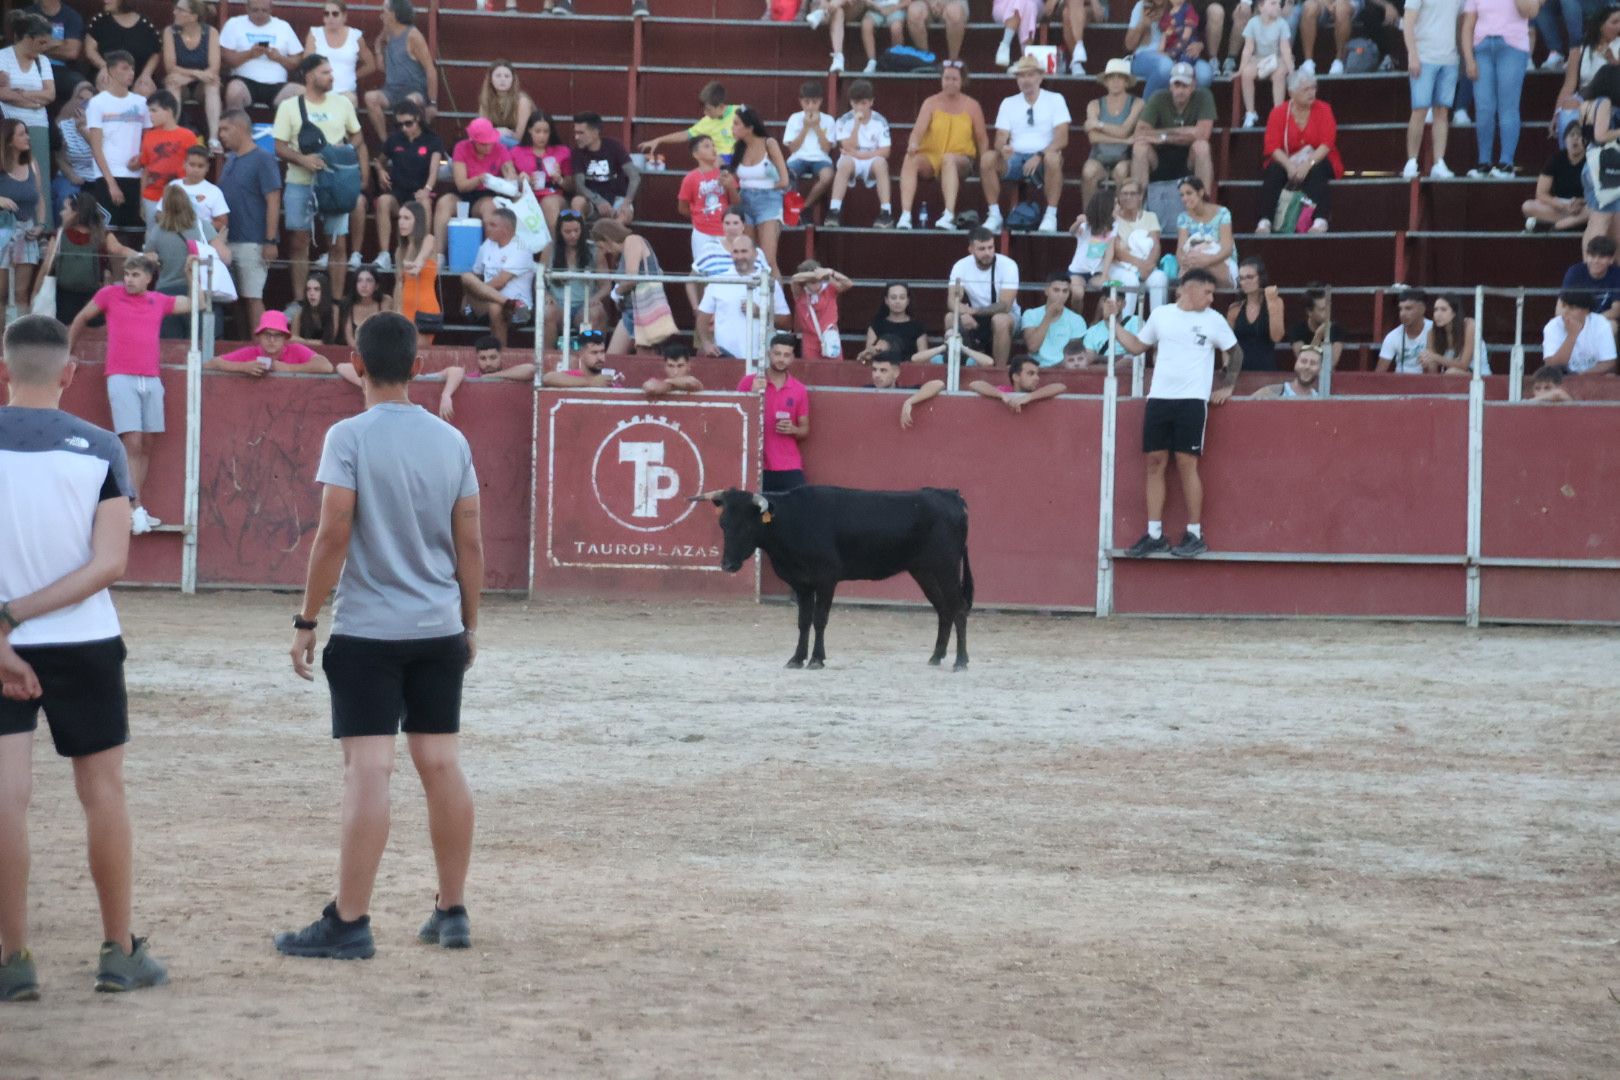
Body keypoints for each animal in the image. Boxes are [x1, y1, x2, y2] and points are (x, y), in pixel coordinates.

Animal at [690, 485, 965, 670]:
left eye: (748, 525)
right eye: (723, 524)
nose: (727, 565)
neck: (793, 520)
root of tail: (950, 495)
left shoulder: (826, 579)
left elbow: (820, 619)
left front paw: (816, 659)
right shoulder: (801, 583)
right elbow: (803, 621)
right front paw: (796, 658)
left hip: (947, 568)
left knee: (958, 608)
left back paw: (961, 661)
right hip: (924, 572)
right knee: (944, 609)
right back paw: (936, 656)